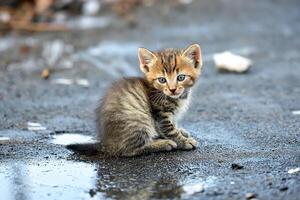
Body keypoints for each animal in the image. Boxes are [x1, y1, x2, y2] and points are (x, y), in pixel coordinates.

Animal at [67, 44, 204, 157]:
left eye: (181, 77)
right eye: (162, 80)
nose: (172, 89)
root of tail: (106, 144)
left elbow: (173, 124)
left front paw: (180, 131)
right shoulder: (161, 115)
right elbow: (170, 130)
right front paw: (184, 141)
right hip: (138, 119)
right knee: (129, 150)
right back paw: (163, 144)